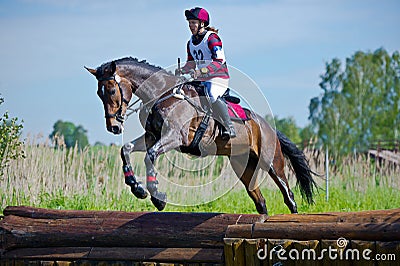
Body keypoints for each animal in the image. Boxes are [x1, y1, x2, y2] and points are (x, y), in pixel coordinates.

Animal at [86, 56, 318, 214]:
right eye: (98, 93)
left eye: (112, 90)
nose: (114, 127)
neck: (161, 94)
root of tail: (268, 127)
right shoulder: (152, 136)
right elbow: (126, 149)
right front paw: (136, 187)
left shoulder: (175, 137)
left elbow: (150, 155)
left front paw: (157, 197)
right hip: (243, 166)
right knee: (259, 201)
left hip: (272, 162)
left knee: (288, 196)